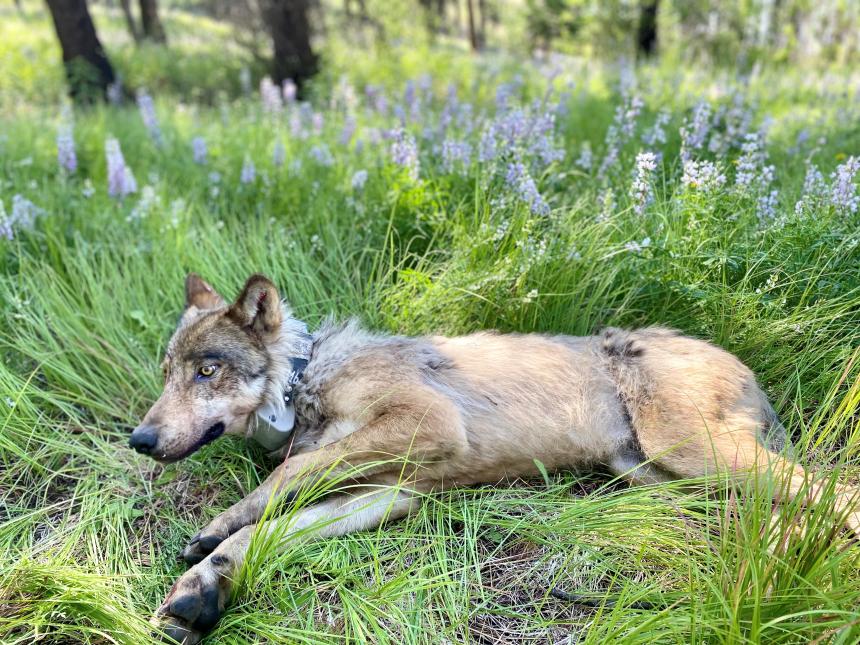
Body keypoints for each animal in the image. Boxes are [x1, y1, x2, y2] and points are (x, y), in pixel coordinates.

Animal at [129, 272, 860, 644]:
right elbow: (277, 525)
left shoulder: (425, 425)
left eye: (206, 371)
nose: (139, 440)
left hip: (695, 455)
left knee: (837, 494)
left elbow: (286, 475)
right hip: (670, 479)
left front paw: (219, 528)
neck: (307, 380)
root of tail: (742, 363)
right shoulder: (388, 492)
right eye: (167, 373)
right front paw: (206, 586)